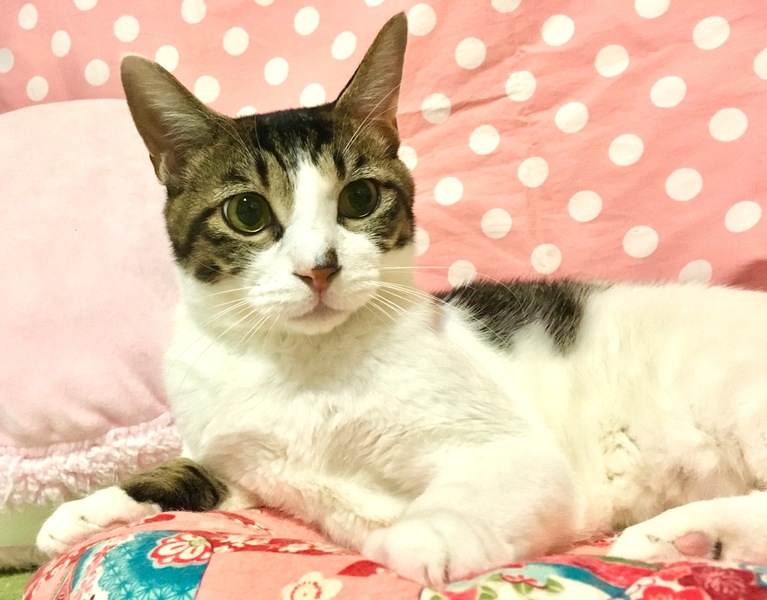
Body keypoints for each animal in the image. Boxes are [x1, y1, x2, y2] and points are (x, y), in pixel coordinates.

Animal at [36, 12, 767, 586]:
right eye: (247, 212)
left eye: (359, 198)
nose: (319, 269)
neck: (301, 364)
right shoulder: (242, 457)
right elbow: (195, 471)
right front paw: (83, 511)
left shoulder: (515, 453)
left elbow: (469, 494)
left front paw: (417, 538)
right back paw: (691, 539)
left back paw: (672, 533)